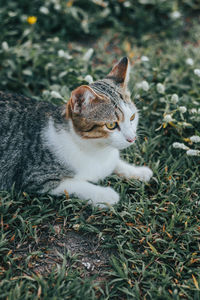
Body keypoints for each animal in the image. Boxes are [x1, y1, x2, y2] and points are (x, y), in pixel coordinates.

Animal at [0, 56, 152, 206]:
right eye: (111, 125)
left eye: (132, 117)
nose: (132, 138)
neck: (96, 150)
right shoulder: (35, 177)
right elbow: (74, 184)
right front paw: (105, 195)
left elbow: (116, 163)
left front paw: (138, 171)